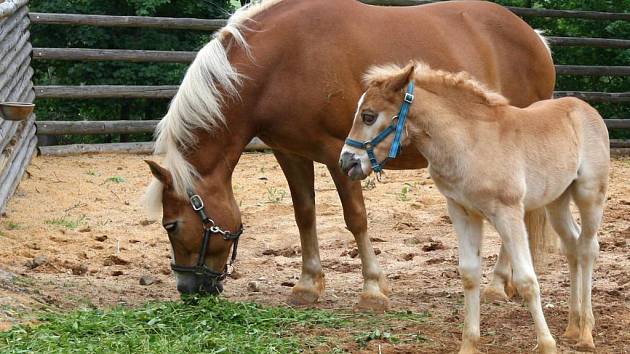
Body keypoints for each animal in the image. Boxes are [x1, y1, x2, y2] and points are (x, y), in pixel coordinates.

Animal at [144, 0, 556, 310]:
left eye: (171, 226)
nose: (188, 290)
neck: (282, 60)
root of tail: (535, 37)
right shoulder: (290, 153)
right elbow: (304, 215)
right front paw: (307, 285)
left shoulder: (340, 154)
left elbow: (355, 218)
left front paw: (372, 289)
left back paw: (497, 284)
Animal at [340, 62, 612, 352]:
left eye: (368, 116)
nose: (347, 162)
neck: (471, 142)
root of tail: (585, 108)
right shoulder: (462, 212)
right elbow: (469, 274)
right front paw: (469, 344)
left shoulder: (509, 213)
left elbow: (526, 280)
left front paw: (547, 345)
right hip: (557, 201)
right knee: (572, 245)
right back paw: (572, 328)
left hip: (589, 194)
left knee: (588, 248)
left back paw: (586, 333)